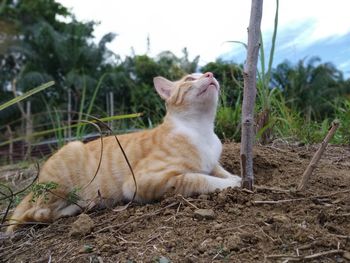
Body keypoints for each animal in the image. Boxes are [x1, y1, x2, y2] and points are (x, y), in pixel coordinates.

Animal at [6, 71, 241, 233]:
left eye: (205, 73)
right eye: (190, 78)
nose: (210, 74)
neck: (201, 129)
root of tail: (35, 185)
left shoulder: (212, 161)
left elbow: (218, 169)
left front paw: (236, 176)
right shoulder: (142, 181)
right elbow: (199, 179)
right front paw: (233, 184)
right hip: (67, 164)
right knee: (39, 213)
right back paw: (78, 207)